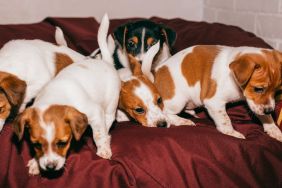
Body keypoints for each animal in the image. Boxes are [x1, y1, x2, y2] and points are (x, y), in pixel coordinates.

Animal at [12, 14, 120, 175]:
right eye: (36, 145)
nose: (50, 167)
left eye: (62, 143)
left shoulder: (95, 113)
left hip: (110, 107)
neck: (54, 97)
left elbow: (98, 134)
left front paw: (103, 150)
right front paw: (35, 163)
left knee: (107, 123)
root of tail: (105, 62)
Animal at [143, 43, 282, 141]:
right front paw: (231, 133)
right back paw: (182, 121)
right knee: (165, 113)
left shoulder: (257, 104)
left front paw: (273, 129)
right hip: (177, 100)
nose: (270, 110)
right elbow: (225, 119)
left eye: (277, 91)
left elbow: (265, 116)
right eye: (258, 89)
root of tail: (154, 74)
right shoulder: (214, 102)